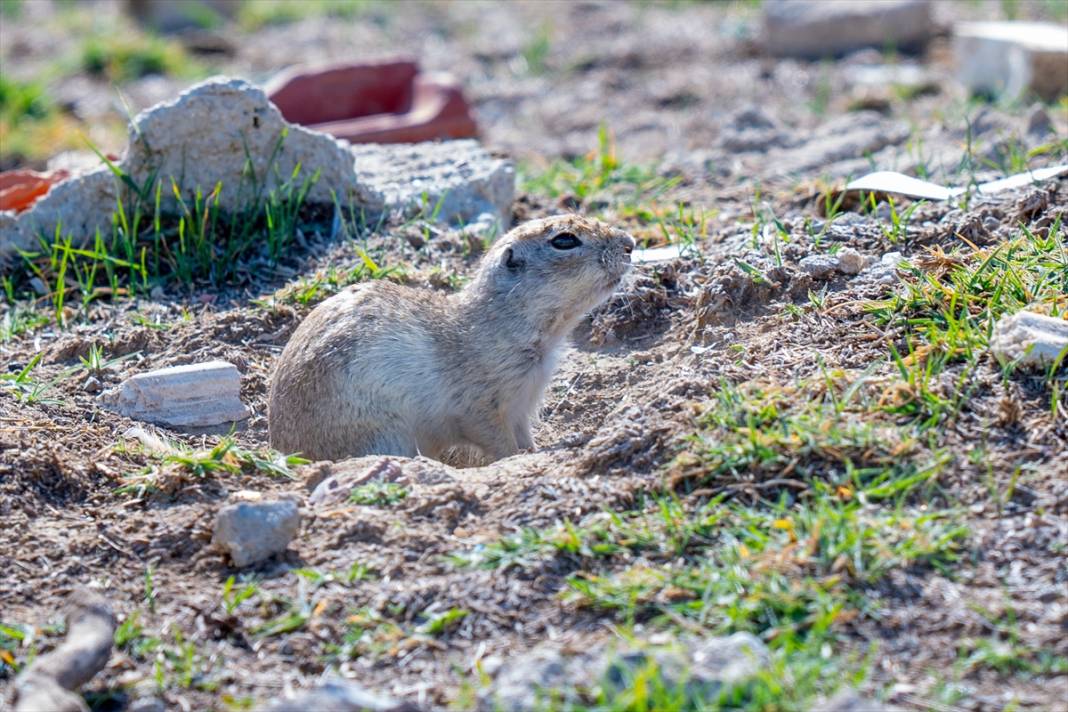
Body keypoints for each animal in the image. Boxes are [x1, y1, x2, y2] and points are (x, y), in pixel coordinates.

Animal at [269, 214, 632, 465]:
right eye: (565, 240)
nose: (630, 243)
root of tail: (284, 450)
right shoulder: (482, 405)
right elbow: (498, 442)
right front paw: (517, 459)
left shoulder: (520, 405)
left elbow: (524, 438)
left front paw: (535, 451)